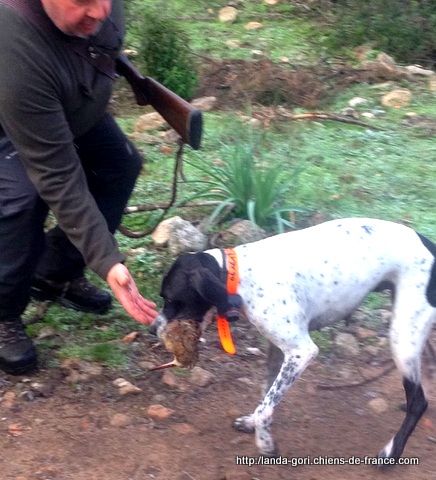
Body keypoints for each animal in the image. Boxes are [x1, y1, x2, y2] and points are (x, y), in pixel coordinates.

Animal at [155, 218, 434, 458]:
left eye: (170, 299)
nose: (152, 329)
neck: (238, 275)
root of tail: (428, 243)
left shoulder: (301, 352)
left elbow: (267, 406)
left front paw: (264, 442)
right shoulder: (277, 350)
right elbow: (266, 394)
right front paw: (252, 423)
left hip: (402, 339)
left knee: (419, 402)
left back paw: (391, 452)